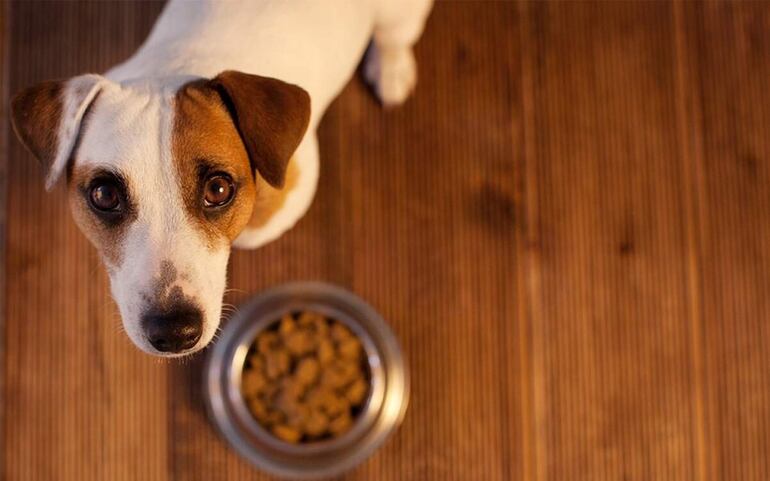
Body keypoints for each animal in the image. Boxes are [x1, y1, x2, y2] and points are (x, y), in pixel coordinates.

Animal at [10, 0, 432, 356]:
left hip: (398, 14)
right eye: (104, 195)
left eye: (218, 189)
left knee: (394, 36)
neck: (172, 68)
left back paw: (392, 69)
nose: (174, 332)